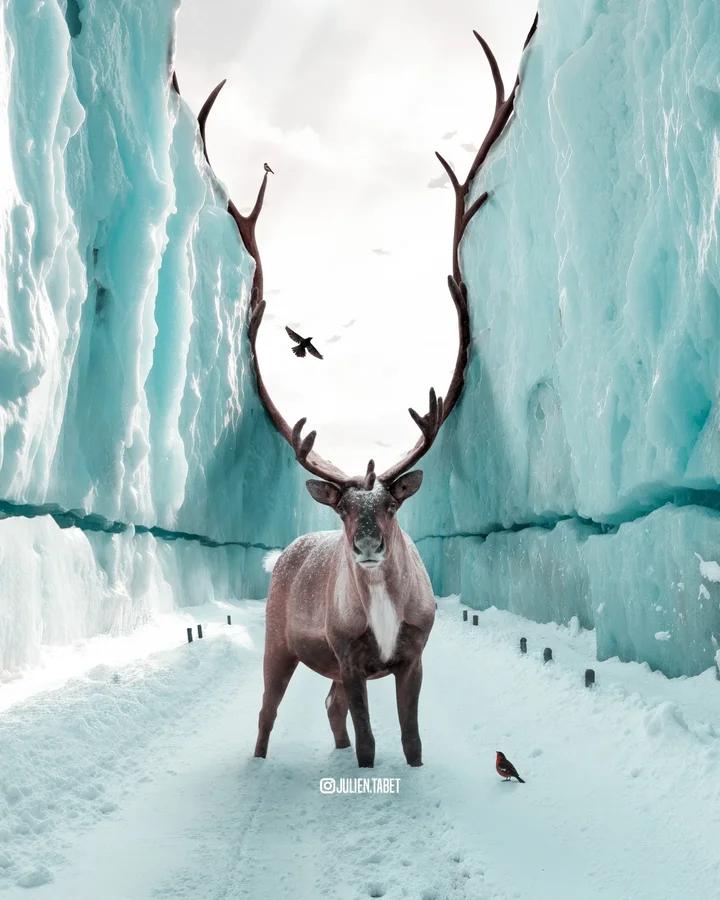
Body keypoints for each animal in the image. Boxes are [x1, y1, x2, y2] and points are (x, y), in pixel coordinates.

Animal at [191, 15, 538, 767]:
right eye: (346, 509)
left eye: (394, 505)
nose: (368, 546)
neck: (379, 616)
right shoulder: (349, 657)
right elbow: (375, 743)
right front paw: (365, 761)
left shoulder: (414, 656)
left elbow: (409, 739)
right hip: (278, 643)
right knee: (269, 713)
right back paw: (263, 758)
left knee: (326, 708)